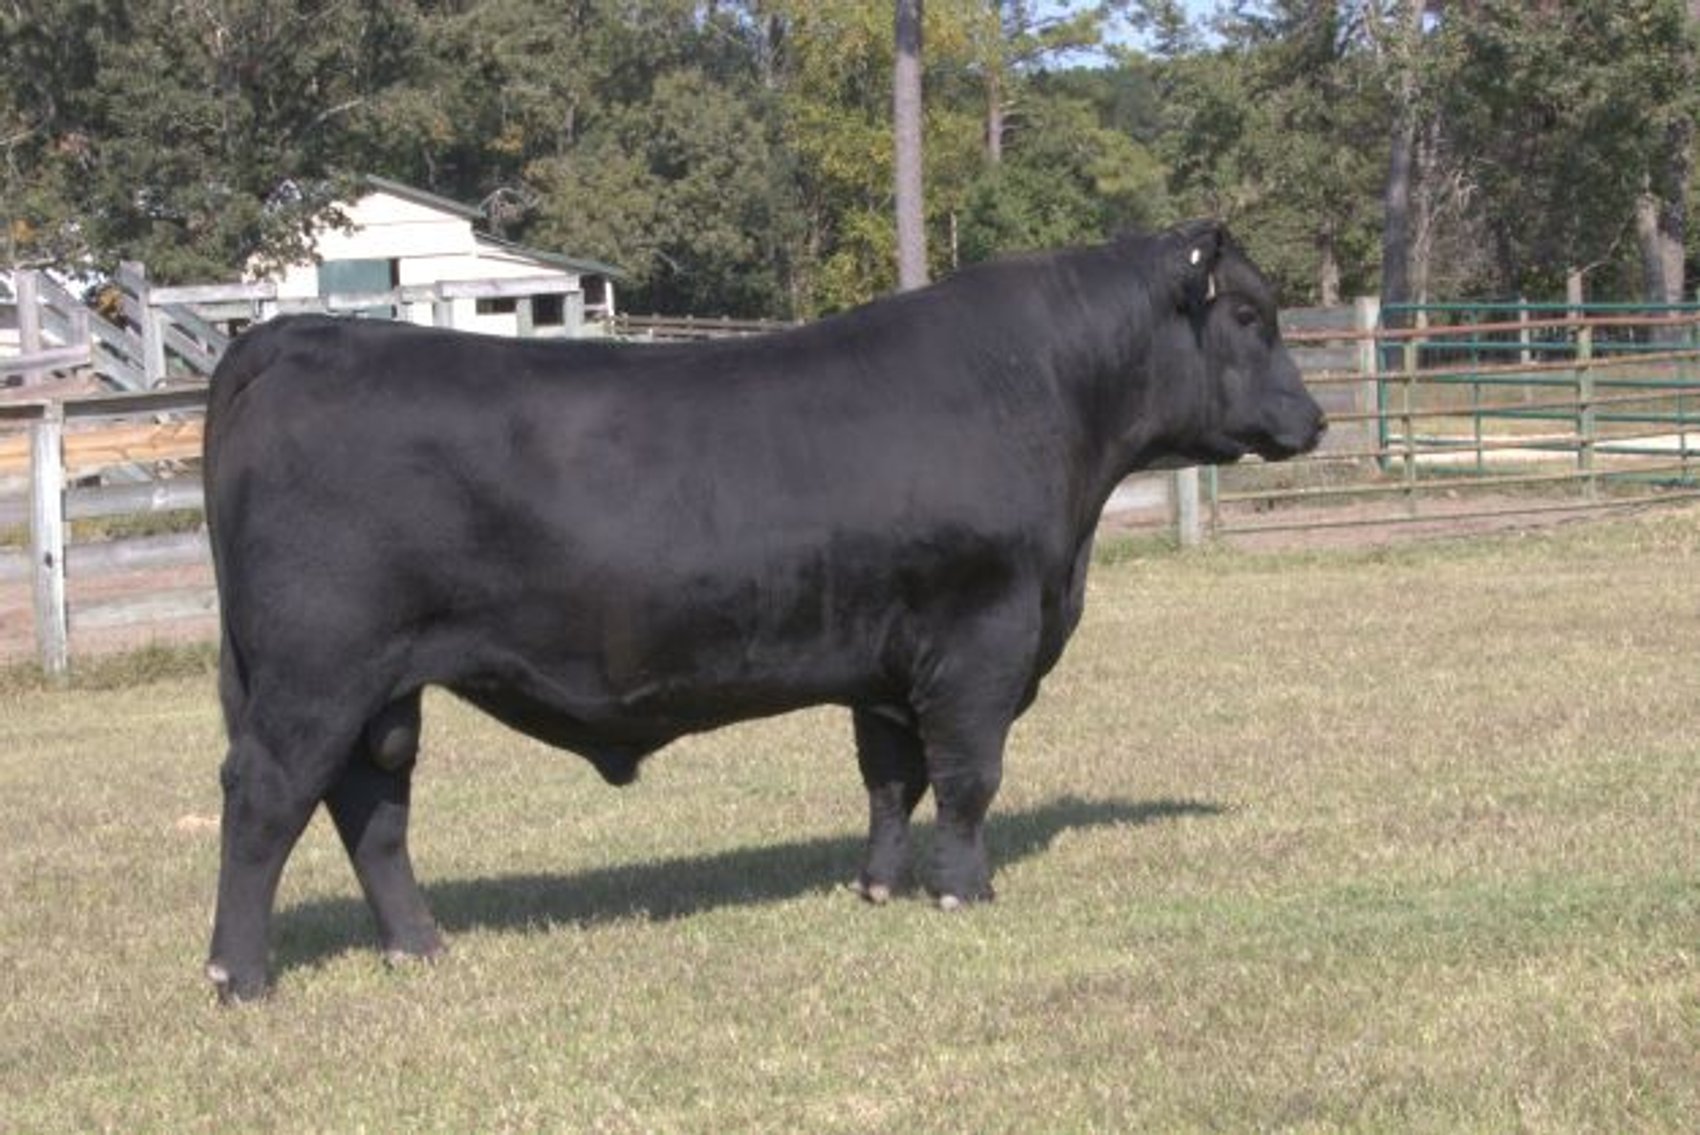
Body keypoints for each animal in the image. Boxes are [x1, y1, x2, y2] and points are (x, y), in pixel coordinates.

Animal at [202, 219, 1325, 1000]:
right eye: (1247, 317)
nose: (1312, 419)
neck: (1035, 394)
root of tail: (292, 337)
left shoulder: (889, 657)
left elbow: (892, 777)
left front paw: (879, 886)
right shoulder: (982, 636)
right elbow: (968, 776)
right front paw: (963, 891)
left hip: (378, 684)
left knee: (371, 801)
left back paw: (419, 946)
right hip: (316, 671)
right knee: (267, 794)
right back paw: (239, 975)